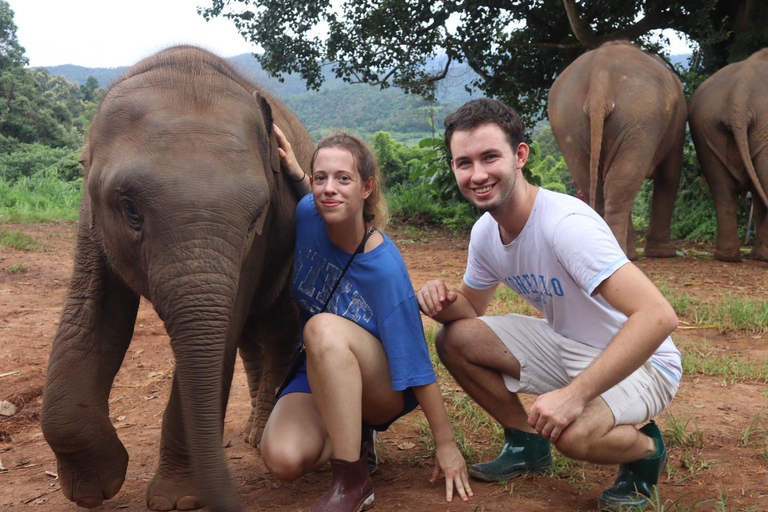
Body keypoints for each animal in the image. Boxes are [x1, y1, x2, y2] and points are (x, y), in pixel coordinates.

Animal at [39, 45, 312, 512]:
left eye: (256, 216)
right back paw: (250, 433)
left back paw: (260, 437)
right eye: (130, 208)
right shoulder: (91, 220)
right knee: (252, 338)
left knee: (279, 327)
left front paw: (177, 500)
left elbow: (218, 336)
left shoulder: (255, 246)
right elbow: (92, 318)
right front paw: (94, 488)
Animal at [548, 41, 688, 260]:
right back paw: (623, 255)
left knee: (596, 184)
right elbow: (670, 174)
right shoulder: (678, 125)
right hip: (639, 119)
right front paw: (664, 254)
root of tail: (599, 78)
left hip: (568, 122)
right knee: (621, 185)